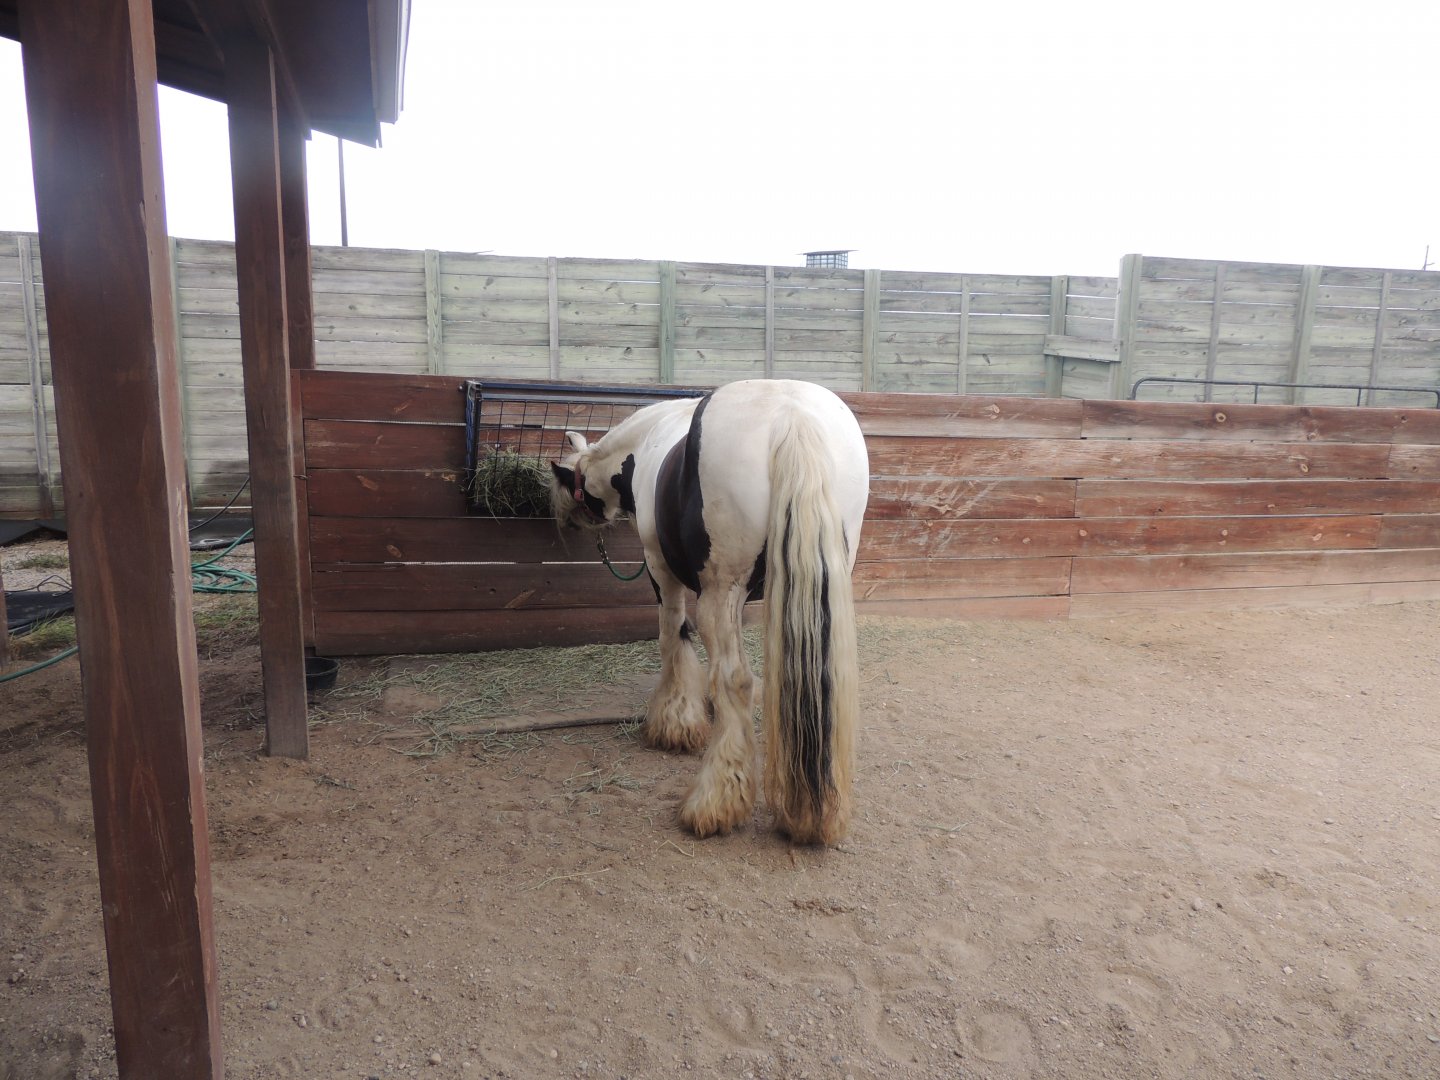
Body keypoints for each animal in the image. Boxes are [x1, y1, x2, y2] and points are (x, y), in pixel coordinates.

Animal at [549, 379, 869, 845]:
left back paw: (715, 802)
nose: (567, 522)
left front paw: (675, 722)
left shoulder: (659, 568)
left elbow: (672, 635)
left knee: (735, 679)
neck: (646, 442)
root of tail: (791, 414)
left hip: (721, 592)